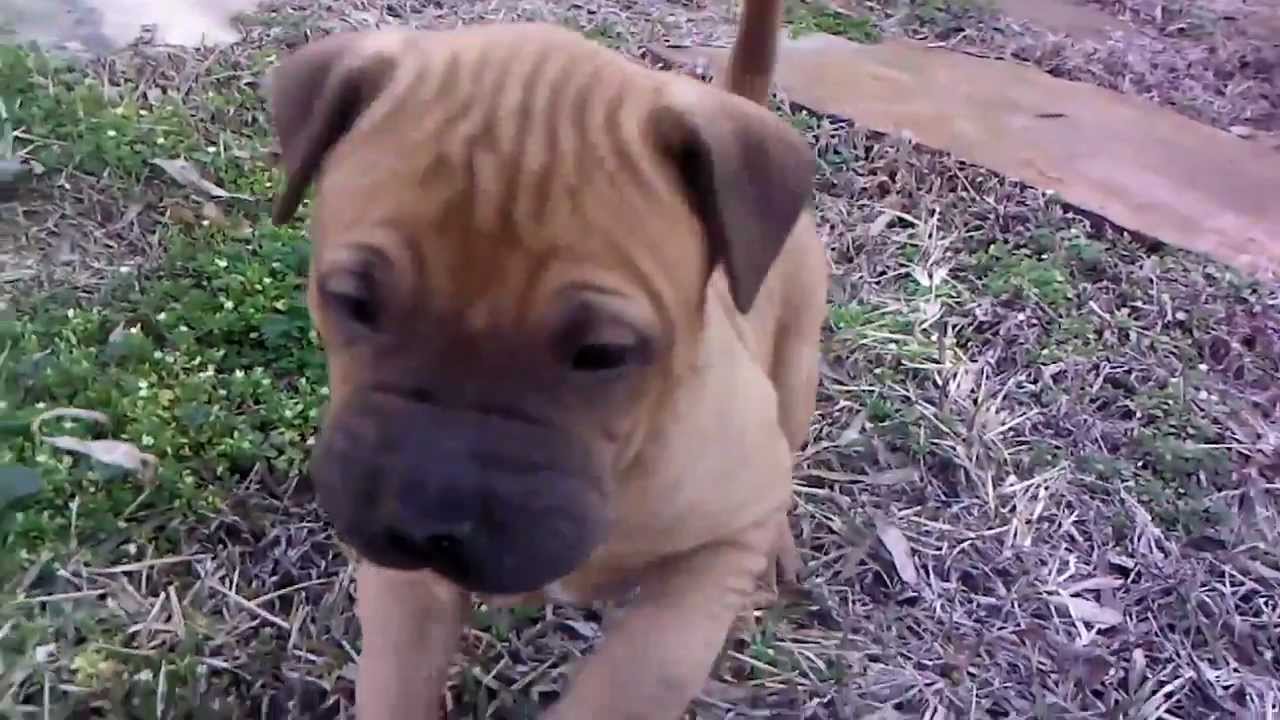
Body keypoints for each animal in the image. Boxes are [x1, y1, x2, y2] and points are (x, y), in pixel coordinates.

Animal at [268, 2, 829, 712]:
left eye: (603, 352)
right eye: (351, 302)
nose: (424, 520)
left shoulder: (715, 551)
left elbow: (637, 674)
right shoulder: (406, 594)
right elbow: (396, 683)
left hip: (795, 368)